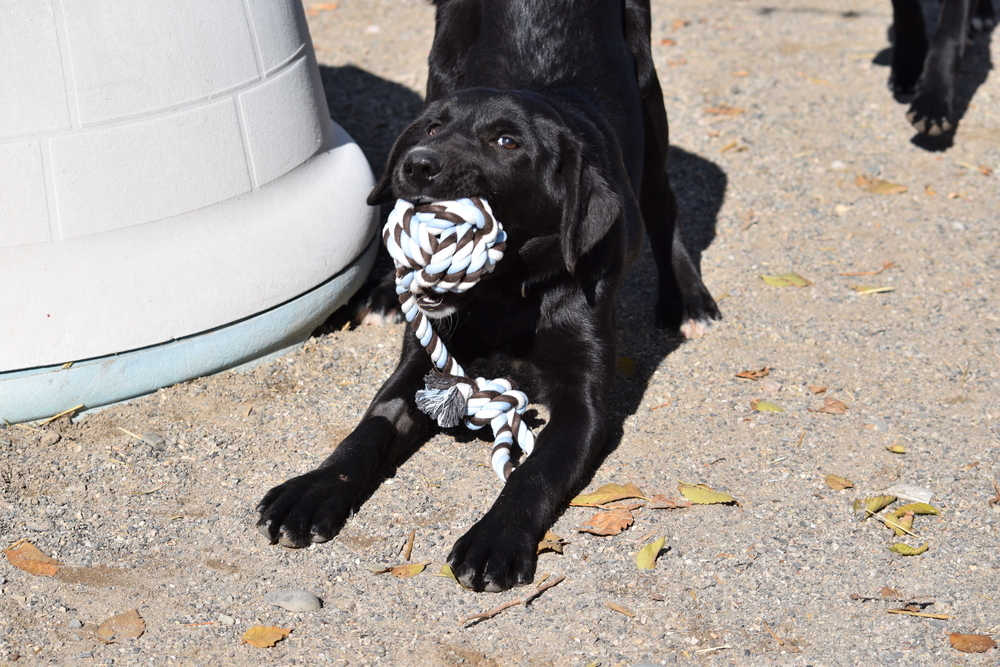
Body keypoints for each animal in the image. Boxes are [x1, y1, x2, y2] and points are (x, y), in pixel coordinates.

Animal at [258, 0, 720, 596]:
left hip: (649, 95)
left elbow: (534, 474)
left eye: (507, 142)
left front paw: (495, 538)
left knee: (663, 198)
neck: (506, 293)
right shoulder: (425, 365)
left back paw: (688, 299)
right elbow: (367, 430)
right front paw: (313, 490)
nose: (416, 164)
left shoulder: (585, 403)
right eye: (433, 127)